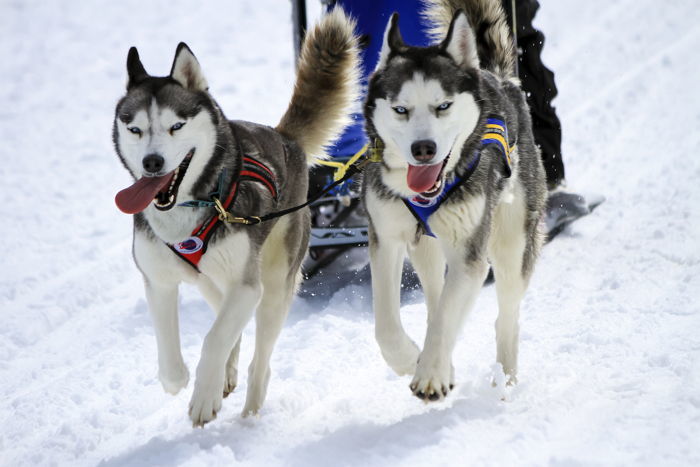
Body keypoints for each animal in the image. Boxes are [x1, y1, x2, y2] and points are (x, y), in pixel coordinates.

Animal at [113, 9, 360, 426]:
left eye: (176, 125)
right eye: (135, 129)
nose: (152, 162)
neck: (190, 208)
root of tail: (285, 139)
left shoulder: (247, 287)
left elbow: (213, 340)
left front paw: (203, 397)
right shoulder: (158, 281)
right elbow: (172, 353)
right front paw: (183, 380)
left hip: (273, 286)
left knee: (260, 359)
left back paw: (250, 409)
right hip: (213, 283)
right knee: (233, 329)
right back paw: (226, 375)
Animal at [364, 0, 548, 402]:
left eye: (443, 106)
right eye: (401, 110)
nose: (423, 149)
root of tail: (499, 78)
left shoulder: (470, 254)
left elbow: (448, 316)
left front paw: (430, 374)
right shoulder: (386, 238)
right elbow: (386, 325)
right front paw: (410, 360)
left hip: (511, 244)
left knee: (505, 317)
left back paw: (505, 379)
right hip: (425, 247)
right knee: (435, 298)